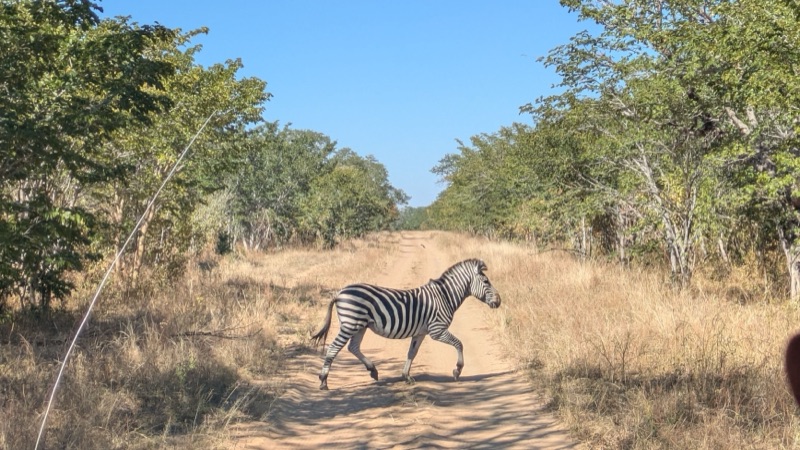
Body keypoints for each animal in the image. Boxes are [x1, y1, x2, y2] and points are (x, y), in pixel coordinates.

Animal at [310, 258, 501, 390]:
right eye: (486, 282)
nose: (499, 301)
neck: (445, 296)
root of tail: (340, 292)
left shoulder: (420, 332)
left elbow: (412, 353)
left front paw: (406, 376)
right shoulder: (437, 330)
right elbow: (459, 344)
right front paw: (457, 370)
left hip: (359, 326)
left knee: (353, 347)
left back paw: (373, 370)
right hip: (350, 324)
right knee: (333, 348)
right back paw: (323, 381)